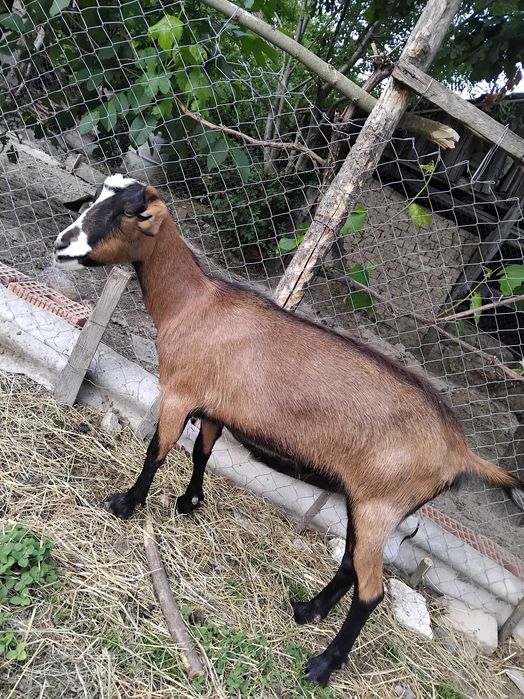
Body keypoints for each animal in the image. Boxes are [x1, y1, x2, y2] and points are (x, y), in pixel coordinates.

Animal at [54, 174, 524, 687]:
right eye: (98, 197)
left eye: (128, 212)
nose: (62, 244)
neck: (193, 304)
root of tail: (461, 453)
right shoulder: (216, 407)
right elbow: (202, 452)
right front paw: (189, 502)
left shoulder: (179, 392)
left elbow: (158, 449)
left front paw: (126, 503)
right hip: (369, 504)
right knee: (351, 564)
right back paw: (307, 610)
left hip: (381, 505)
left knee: (372, 591)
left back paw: (321, 665)